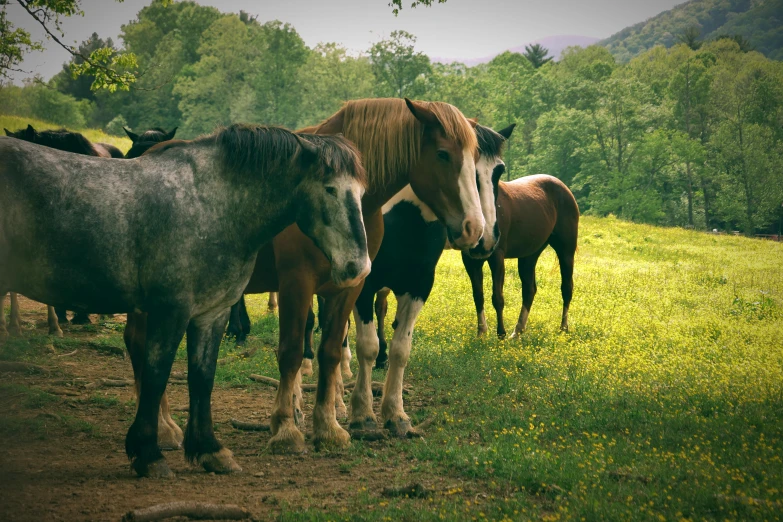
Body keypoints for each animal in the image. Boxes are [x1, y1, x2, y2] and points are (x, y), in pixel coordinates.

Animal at [0, 123, 372, 476]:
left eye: (362, 193)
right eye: (329, 189)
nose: (359, 267)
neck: (210, 203)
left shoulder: (212, 313)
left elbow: (202, 377)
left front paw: (209, 450)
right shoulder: (171, 310)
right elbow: (157, 374)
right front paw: (148, 453)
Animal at [126, 96, 484, 450]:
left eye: (476, 157)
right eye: (443, 154)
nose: (474, 228)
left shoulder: (351, 287)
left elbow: (332, 352)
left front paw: (328, 426)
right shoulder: (297, 284)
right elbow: (291, 352)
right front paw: (286, 427)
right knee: (141, 343)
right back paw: (163, 427)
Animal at [346, 123, 512, 434]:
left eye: (499, 171)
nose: (485, 238)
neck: (403, 218)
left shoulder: (419, 286)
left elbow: (401, 349)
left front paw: (396, 414)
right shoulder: (364, 287)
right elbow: (367, 347)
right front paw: (362, 415)